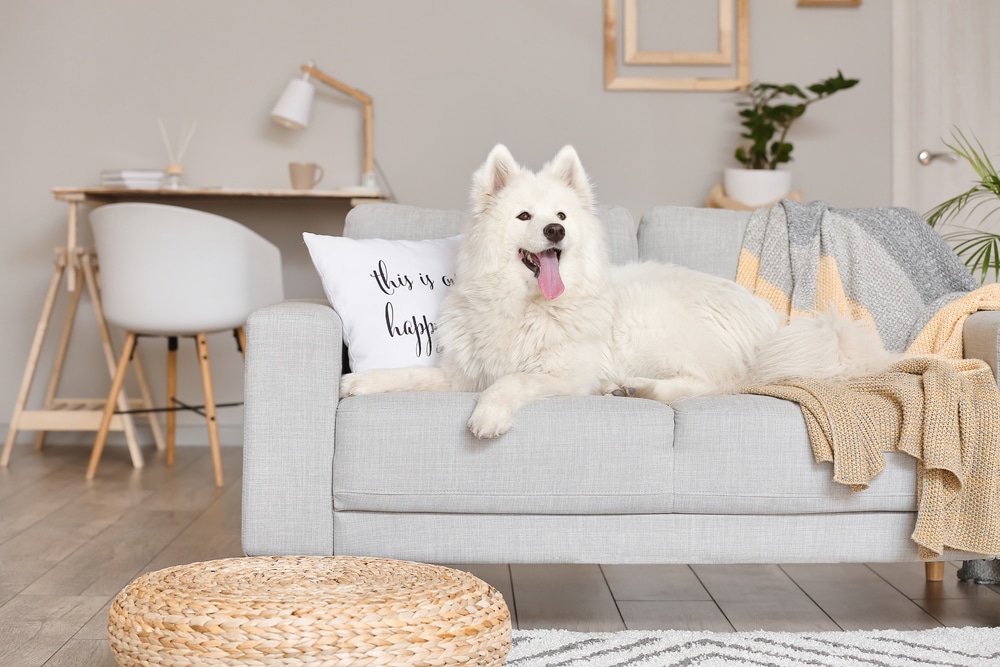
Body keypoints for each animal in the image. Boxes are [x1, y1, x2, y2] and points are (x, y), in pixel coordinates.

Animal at [340, 144, 896, 440]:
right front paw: (358, 383)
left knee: (718, 383)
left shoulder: (564, 373)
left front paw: (488, 415)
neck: (524, 307)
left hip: (656, 329)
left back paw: (638, 389)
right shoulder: (459, 375)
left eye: (561, 216)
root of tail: (773, 321)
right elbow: (408, 373)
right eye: (524, 216)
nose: (555, 231)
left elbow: (511, 383)